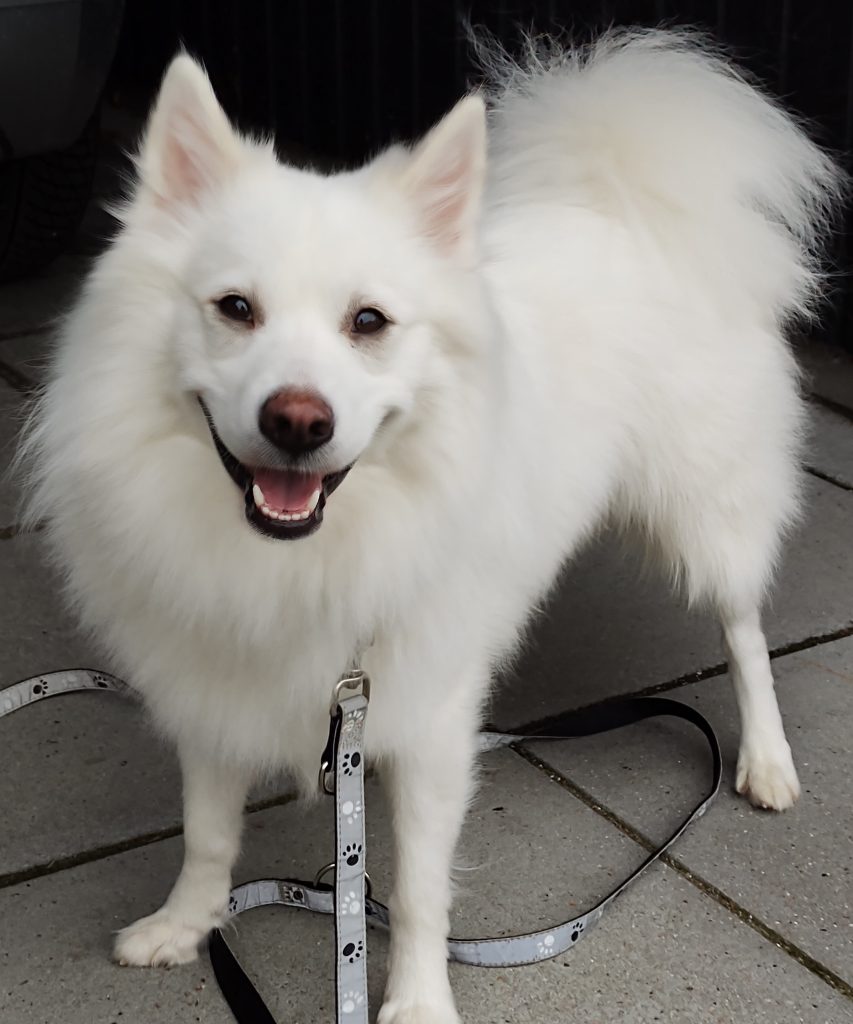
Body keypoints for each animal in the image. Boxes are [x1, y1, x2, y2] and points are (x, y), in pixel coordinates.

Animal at [20, 29, 843, 1023]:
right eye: (234, 309)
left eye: (368, 322)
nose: (298, 421)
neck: (300, 557)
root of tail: (615, 198)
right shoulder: (216, 684)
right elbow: (207, 832)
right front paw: (188, 925)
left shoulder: (422, 719)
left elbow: (417, 885)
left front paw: (415, 1001)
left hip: (705, 509)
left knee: (742, 624)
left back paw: (765, 758)